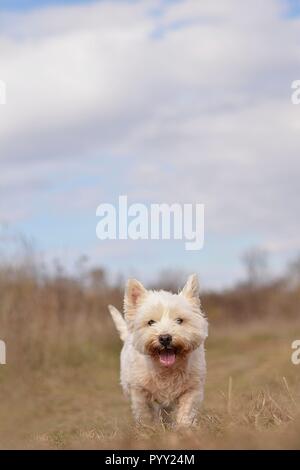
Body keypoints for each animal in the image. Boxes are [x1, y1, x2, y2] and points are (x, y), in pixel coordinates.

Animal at [108, 274, 209, 428]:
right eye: (150, 322)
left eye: (179, 320)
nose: (165, 338)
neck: (166, 370)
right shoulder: (139, 391)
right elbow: (145, 413)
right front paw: (149, 430)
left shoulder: (192, 388)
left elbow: (186, 411)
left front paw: (184, 429)